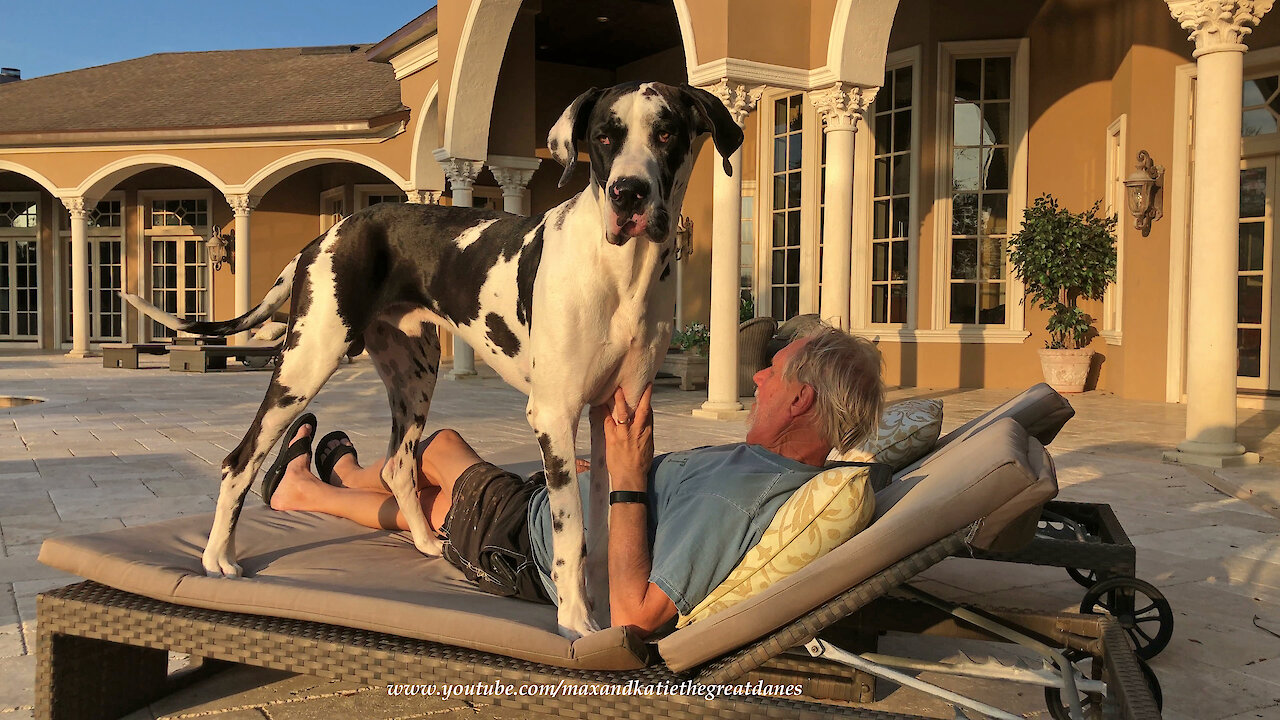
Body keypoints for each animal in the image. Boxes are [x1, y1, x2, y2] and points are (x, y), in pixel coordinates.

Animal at [122, 81, 742, 635]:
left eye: (666, 132)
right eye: (604, 137)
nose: (628, 193)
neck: (622, 270)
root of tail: (325, 236)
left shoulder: (618, 411)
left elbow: (603, 516)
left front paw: (605, 604)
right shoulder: (554, 415)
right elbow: (570, 531)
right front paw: (576, 622)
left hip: (415, 376)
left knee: (397, 464)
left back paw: (423, 541)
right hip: (306, 363)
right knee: (240, 460)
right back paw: (217, 558)